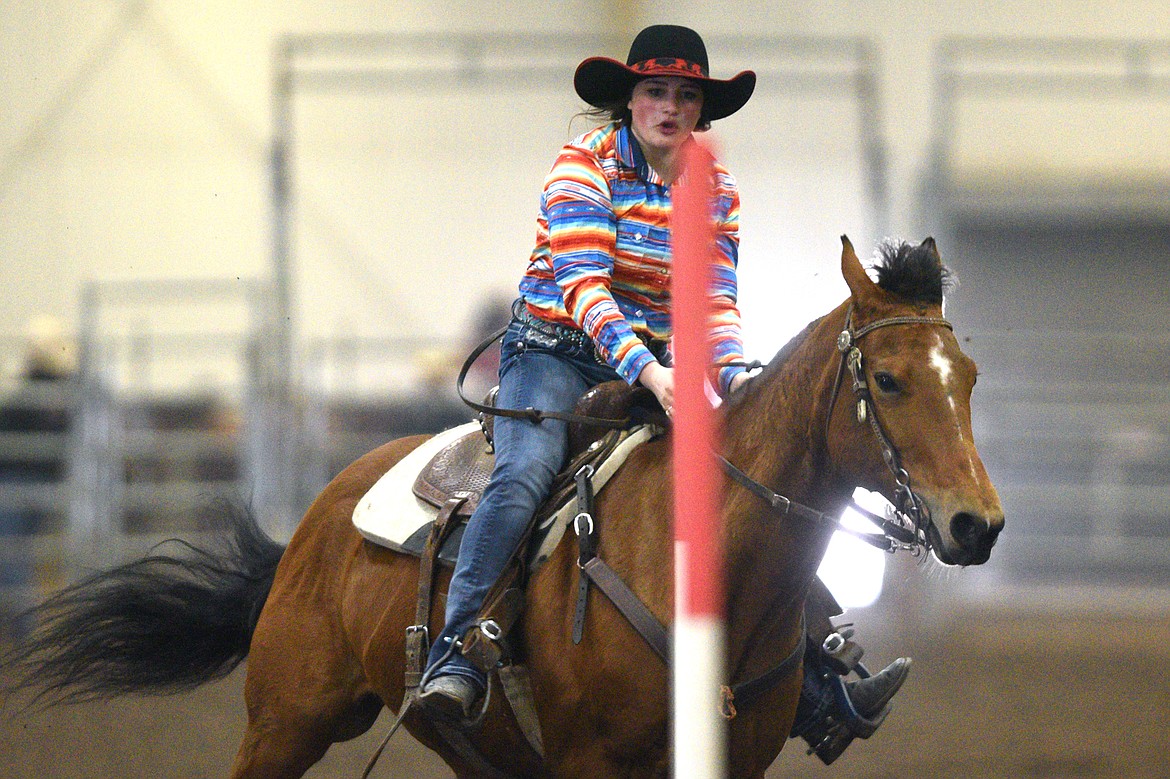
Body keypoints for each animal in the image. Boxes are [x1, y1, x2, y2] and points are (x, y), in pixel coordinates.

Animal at [0, 233, 1006, 771]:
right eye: (888, 378)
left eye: (968, 376)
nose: (977, 524)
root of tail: (313, 525)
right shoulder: (595, 762)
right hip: (284, 721)